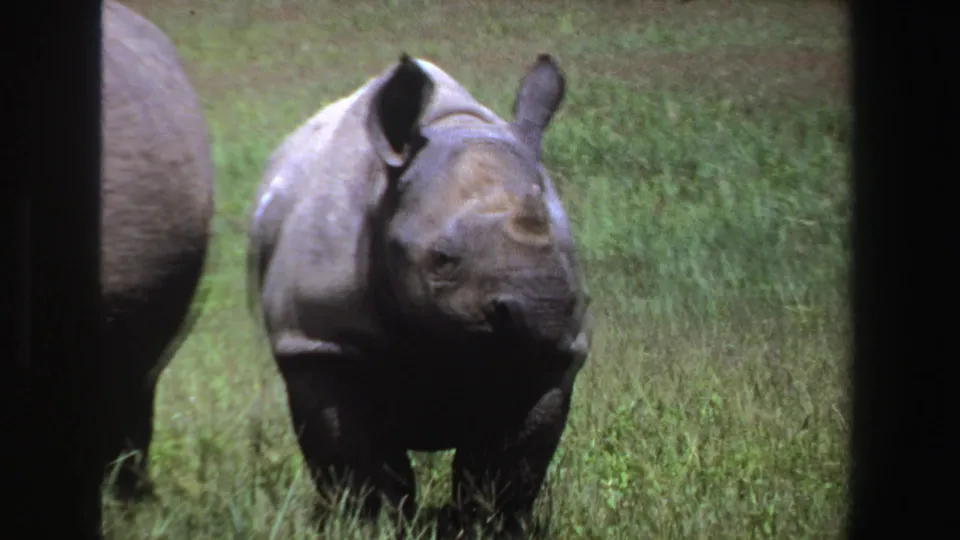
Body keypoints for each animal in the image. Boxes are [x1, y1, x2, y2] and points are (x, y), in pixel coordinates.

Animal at [247, 53, 592, 537]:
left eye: (565, 251)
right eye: (442, 259)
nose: (546, 313)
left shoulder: (547, 359)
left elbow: (504, 468)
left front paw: (486, 527)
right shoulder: (320, 341)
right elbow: (358, 462)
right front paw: (372, 527)